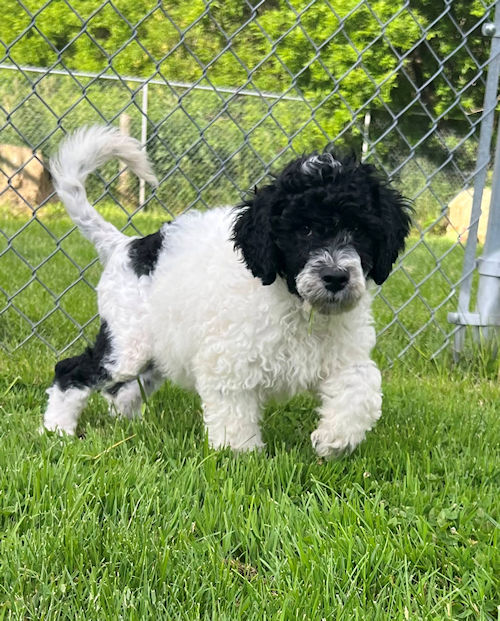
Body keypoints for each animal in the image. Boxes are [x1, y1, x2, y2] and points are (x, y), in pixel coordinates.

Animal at [43, 127, 410, 456]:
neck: (296, 304)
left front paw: (335, 440)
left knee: (122, 391)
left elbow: (360, 388)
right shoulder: (229, 363)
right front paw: (240, 456)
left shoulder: (344, 356)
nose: (335, 277)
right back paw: (57, 430)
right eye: (304, 230)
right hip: (126, 343)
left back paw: (130, 427)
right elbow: (234, 414)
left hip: (157, 350)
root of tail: (125, 245)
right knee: (72, 371)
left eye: (359, 230)